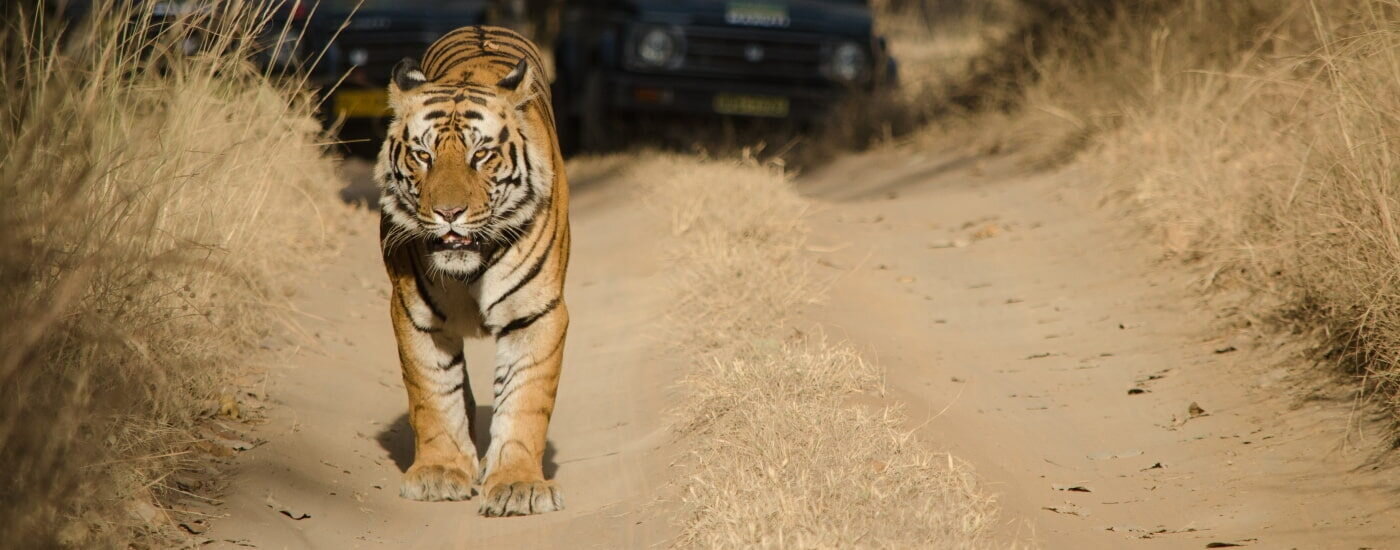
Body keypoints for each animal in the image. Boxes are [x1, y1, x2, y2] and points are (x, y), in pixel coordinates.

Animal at [375, 25, 571, 515]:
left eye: (480, 155)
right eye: (423, 156)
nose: (448, 213)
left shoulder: (537, 313)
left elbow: (524, 399)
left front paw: (519, 485)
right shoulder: (414, 314)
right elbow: (432, 394)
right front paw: (440, 471)